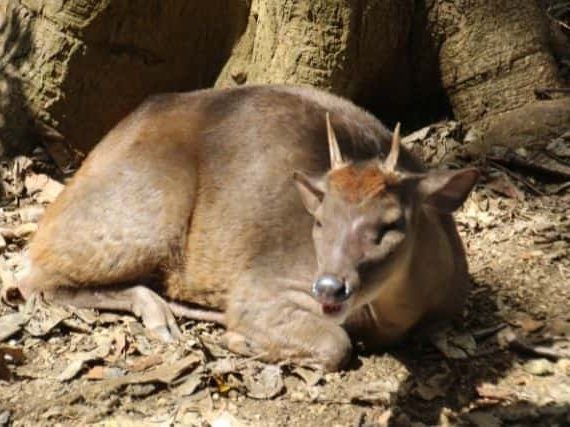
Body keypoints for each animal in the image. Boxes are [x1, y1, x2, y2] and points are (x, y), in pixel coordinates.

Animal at [11, 84, 478, 372]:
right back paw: (161, 314)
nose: (329, 287)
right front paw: (242, 341)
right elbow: (335, 344)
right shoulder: (265, 283)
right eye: (320, 219)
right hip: (141, 218)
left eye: (392, 222)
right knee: (30, 277)